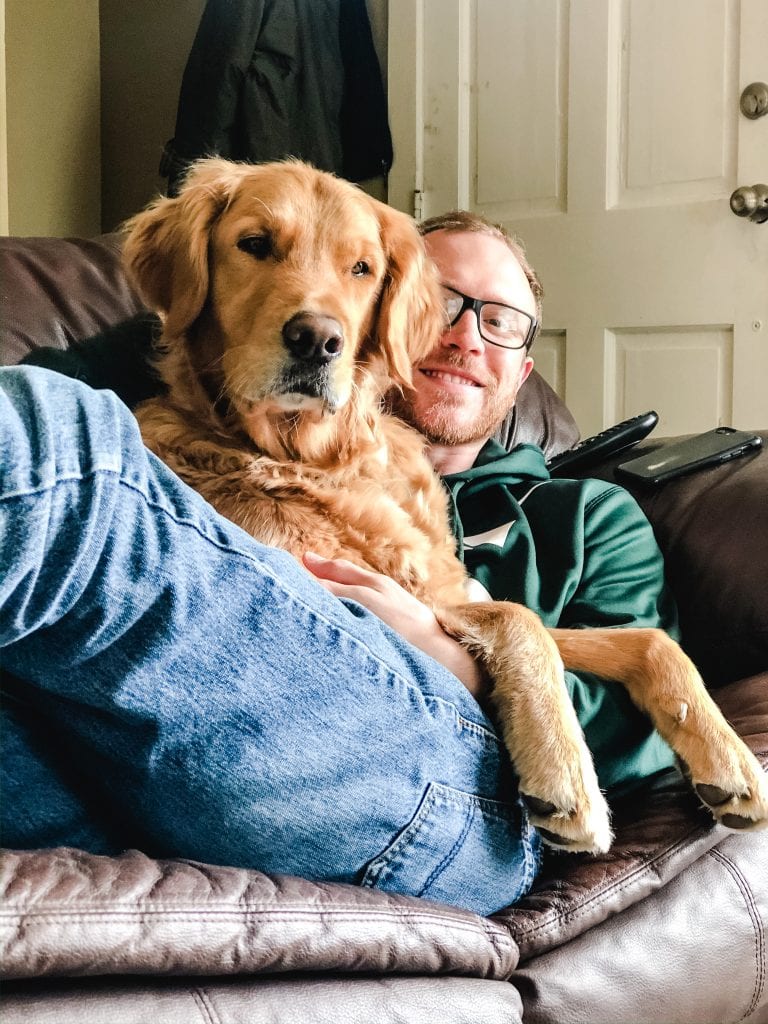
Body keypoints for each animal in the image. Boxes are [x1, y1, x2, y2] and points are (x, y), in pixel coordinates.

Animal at [123, 157, 765, 847]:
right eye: (254, 244)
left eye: (361, 269)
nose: (318, 340)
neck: (326, 457)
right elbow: (521, 618)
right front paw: (565, 775)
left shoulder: (441, 594)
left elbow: (645, 641)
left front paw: (729, 761)